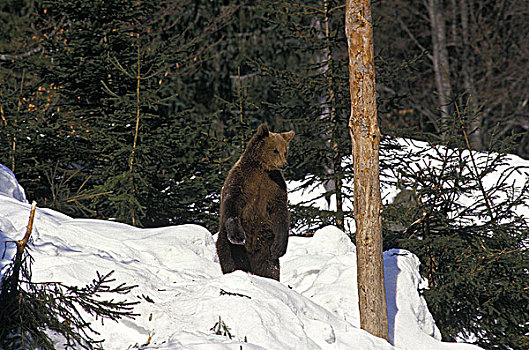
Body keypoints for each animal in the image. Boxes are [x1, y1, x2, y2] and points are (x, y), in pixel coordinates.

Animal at [217, 124, 294, 280]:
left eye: (285, 151)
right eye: (275, 150)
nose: (284, 165)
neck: (262, 168)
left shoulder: (275, 186)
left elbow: (280, 211)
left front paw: (279, 247)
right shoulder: (242, 180)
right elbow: (232, 201)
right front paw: (238, 236)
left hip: (265, 244)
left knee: (269, 266)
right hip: (230, 244)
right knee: (228, 256)